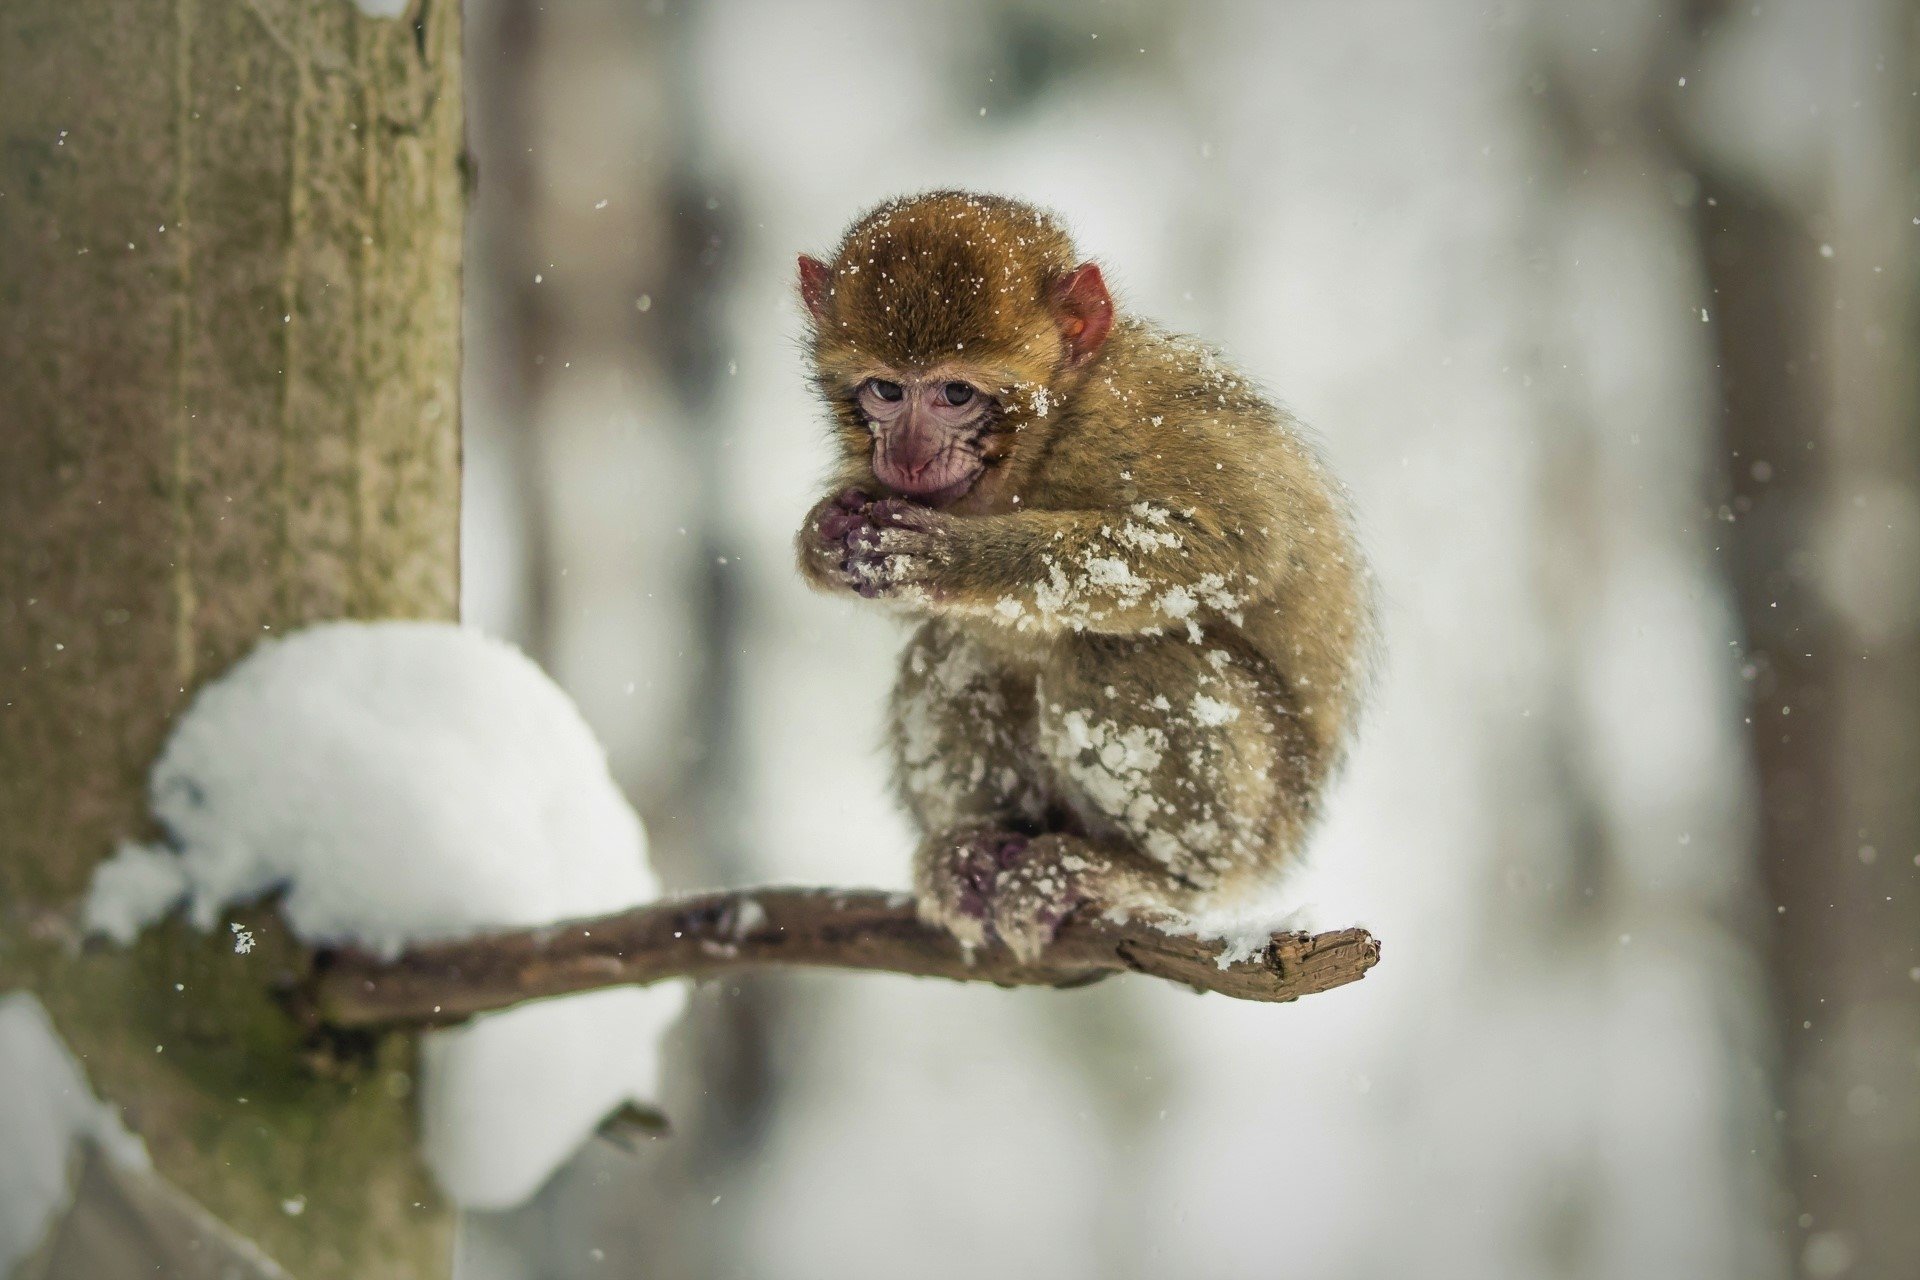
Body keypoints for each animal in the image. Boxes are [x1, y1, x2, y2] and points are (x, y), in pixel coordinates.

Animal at [798, 189, 1382, 959]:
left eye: (955, 393)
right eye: (886, 390)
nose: (911, 457)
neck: (1036, 445)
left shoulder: (1132, 425)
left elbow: (1236, 543)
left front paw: (959, 556)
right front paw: (822, 537)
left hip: (1258, 828)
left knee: (1116, 655)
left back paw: (1152, 876)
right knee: (958, 650)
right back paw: (973, 850)